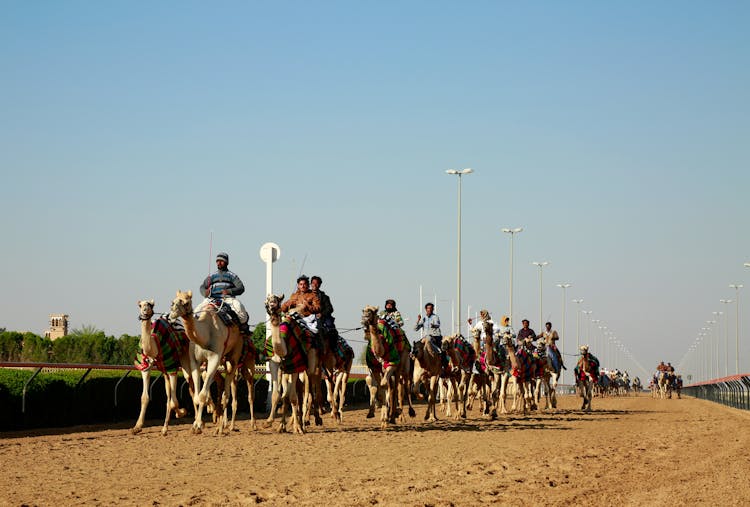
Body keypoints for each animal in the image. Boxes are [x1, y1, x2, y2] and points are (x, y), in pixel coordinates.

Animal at [132, 302, 192, 436]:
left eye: (150, 304)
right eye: (140, 305)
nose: (145, 311)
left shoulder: (172, 368)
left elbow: (174, 402)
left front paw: (182, 412)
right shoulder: (145, 367)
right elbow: (144, 397)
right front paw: (137, 427)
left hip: (185, 361)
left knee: (192, 384)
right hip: (165, 372)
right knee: (170, 395)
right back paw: (164, 428)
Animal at [169, 292, 242, 434]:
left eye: (186, 302)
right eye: (173, 301)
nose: (172, 313)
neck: (205, 336)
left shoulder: (215, 358)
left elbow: (202, 395)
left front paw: (198, 425)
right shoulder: (195, 361)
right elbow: (197, 396)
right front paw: (197, 424)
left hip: (233, 356)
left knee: (227, 393)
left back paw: (223, 427)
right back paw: (219, 424)